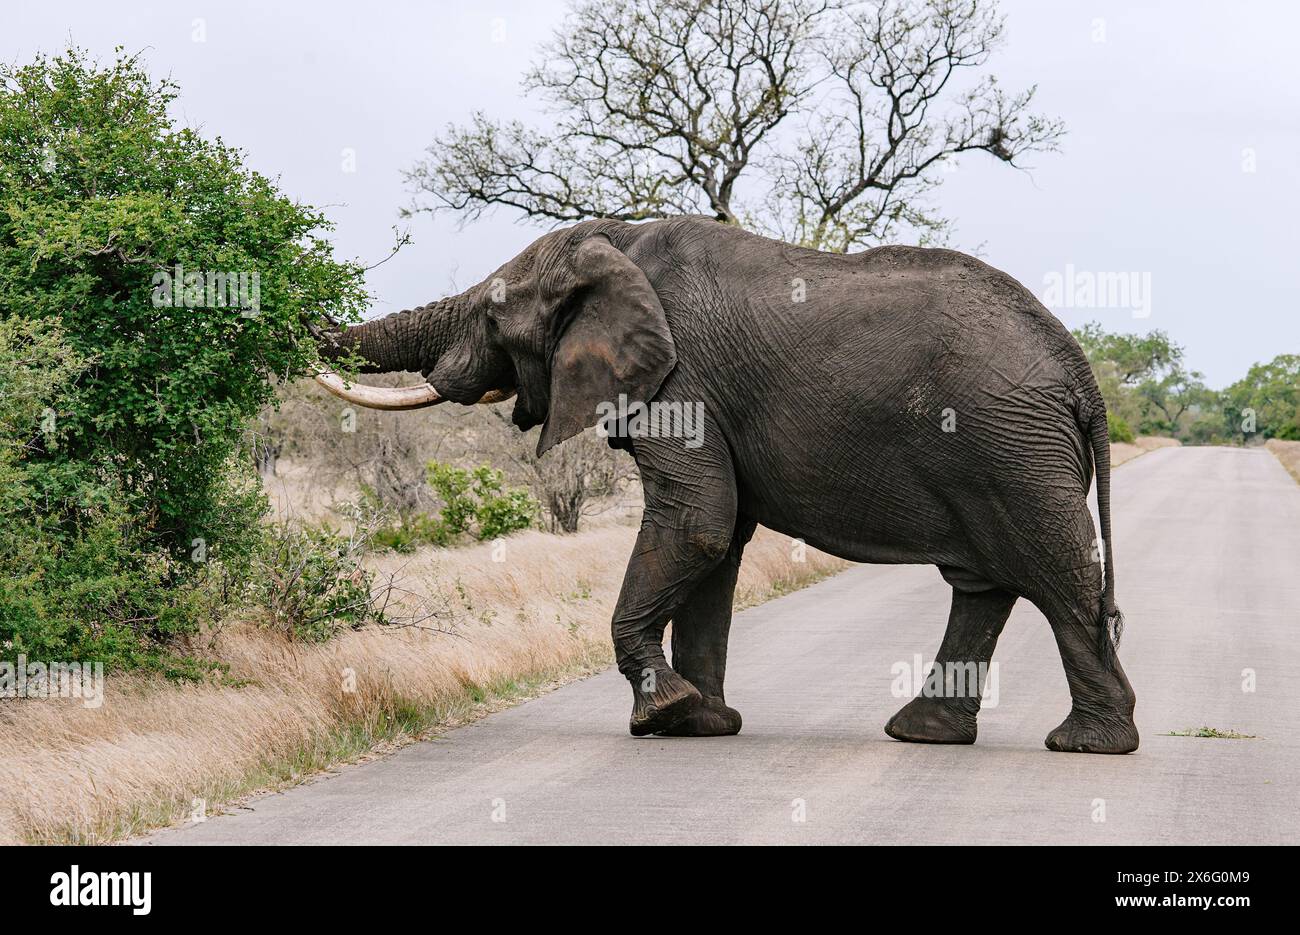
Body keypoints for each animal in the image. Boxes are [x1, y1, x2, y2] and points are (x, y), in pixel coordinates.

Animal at [317, 214, 1138, 754]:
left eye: (492, 309)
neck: (618, 237)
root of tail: (1080, 373)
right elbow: (717, 541)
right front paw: (703, 725)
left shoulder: (683, 383)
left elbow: (697, 523)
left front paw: (661, 716)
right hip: (1007, 451)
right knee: (987, 583)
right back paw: (925, 734)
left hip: (1013, 448)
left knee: (1054, 572)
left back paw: (1089, 745)